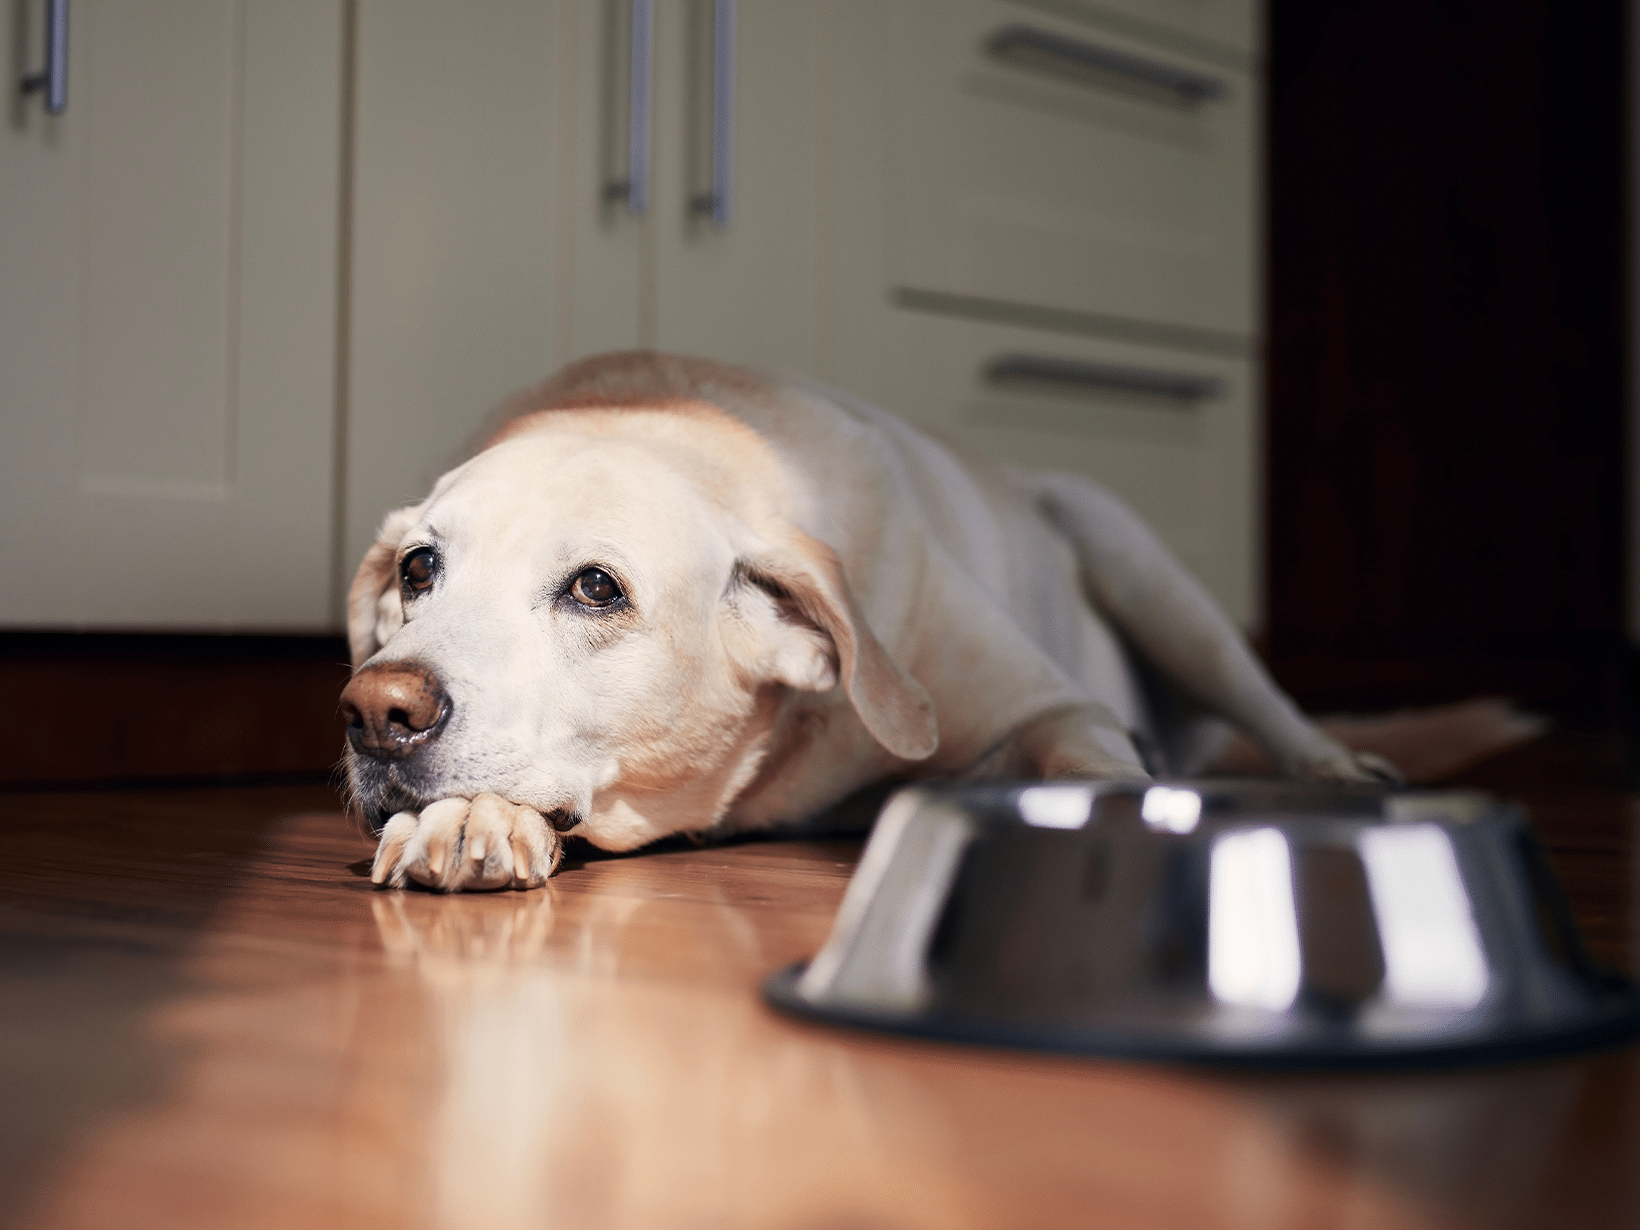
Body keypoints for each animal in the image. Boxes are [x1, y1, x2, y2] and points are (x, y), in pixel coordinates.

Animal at [346, 350, 1397, 892]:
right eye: (418, 568)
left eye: (597, 589)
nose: (377, 713)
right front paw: (467, 819)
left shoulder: (1050, 708)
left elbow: (1088, 763)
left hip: (1138, 561)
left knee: (1266, 702)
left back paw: (1337, 765)